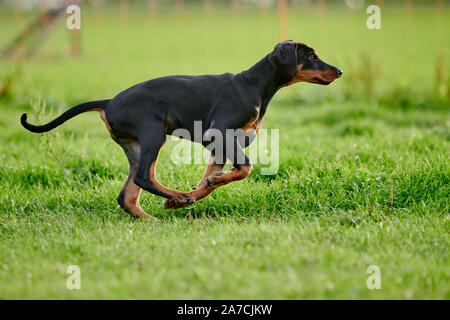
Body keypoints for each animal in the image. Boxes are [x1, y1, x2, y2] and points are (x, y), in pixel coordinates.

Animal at [21, 40, 342, 219]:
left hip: (136, 144)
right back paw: (176, 196)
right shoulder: (220, 132)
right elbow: (245, 168)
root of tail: (109, 101)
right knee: (143, 177)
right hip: (153, 133)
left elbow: (210, 181)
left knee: (128, 194)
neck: (256, 84)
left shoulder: (222, 146)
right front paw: (188, 196)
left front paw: (195, 192)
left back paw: (160, 214)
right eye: (311, 56)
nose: (338, 71)